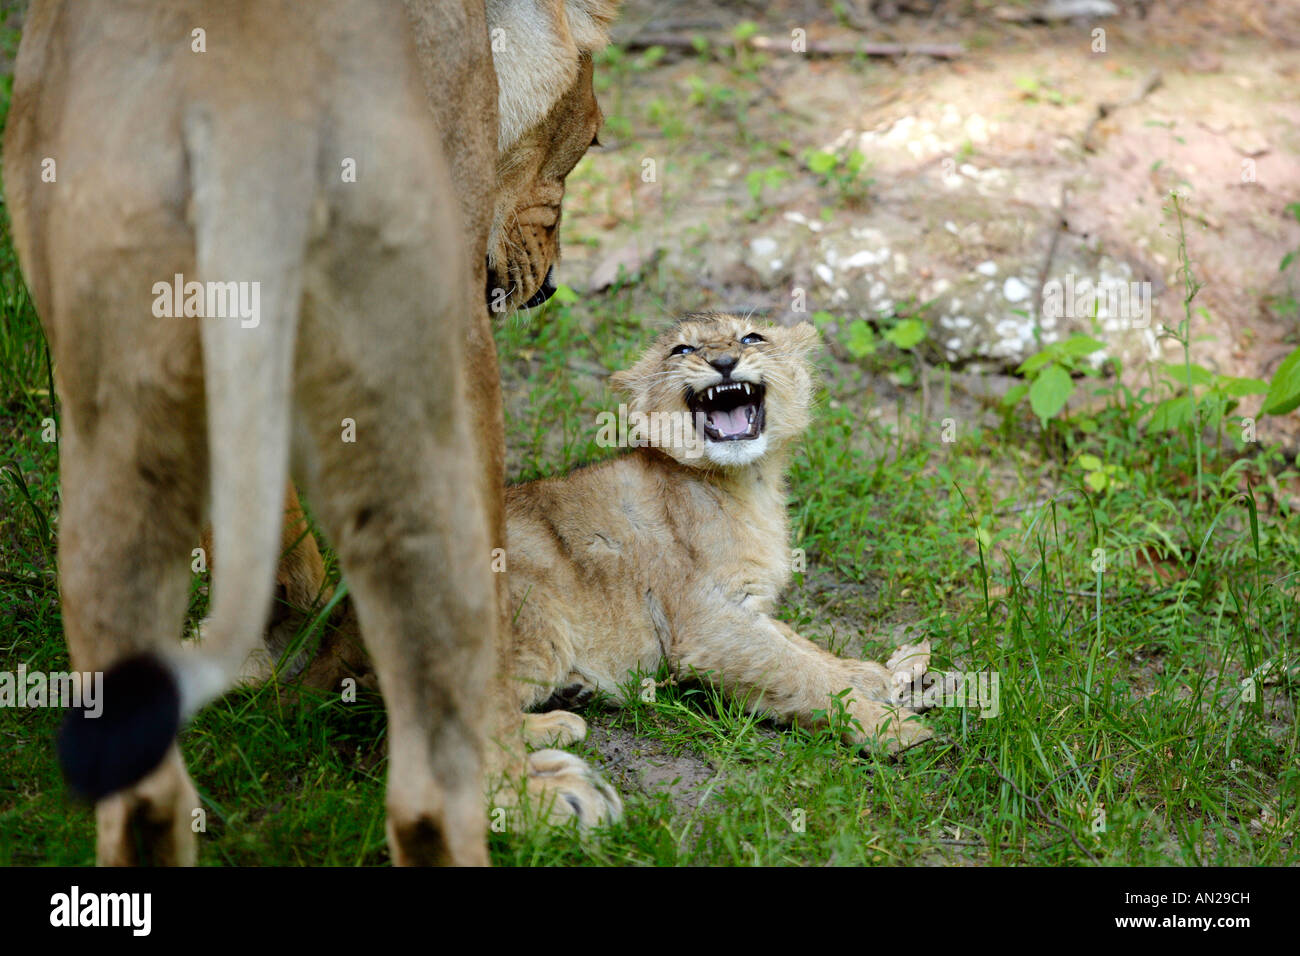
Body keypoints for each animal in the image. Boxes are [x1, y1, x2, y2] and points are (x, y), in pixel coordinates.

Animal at [2, 0, 618, 868]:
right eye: (590, 138)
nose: (552, 286)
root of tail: (232, 102)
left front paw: (282, 639)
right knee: (437, 769)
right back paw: (528, 792)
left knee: (143, 792)